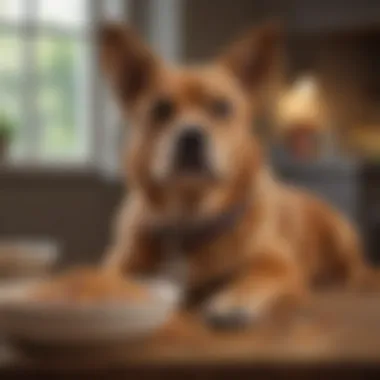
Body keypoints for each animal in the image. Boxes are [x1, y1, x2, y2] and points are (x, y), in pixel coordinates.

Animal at [98, 22, 374, 328]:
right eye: (161, 109)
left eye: (222, 107)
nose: (191, 136)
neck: (190, 217)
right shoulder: (116, 264)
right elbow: (107, 278)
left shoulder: (278, 265)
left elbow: (254, 278)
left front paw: (233, 302)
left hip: (340, 234)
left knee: (356, 268)